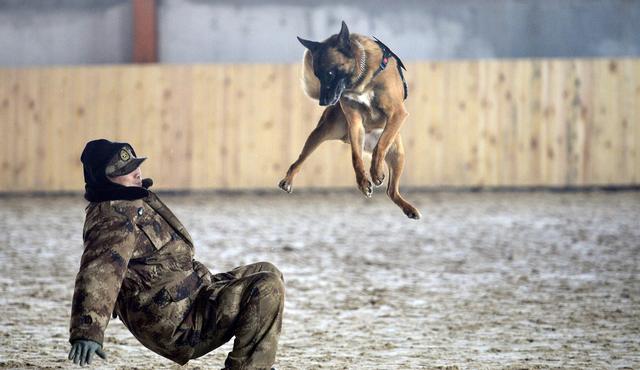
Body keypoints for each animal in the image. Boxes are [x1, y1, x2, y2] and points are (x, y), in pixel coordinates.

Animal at [276, 21, 420, 218]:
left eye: (329, 73)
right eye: (317, 74)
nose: (323, 102)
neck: (361, 79)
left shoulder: (397, 114)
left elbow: (381, 145)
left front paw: (376, 172)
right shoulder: (355, 123)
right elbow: (355, 158)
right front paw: (363, 183)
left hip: (398, 154)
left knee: (392, 190)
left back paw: (409, 208)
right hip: (322, 133)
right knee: (299, 160)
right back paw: (288, 180)